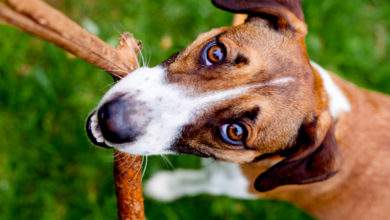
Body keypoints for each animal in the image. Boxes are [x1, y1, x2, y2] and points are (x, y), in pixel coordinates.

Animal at [86, 0, 390, 219]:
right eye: (215, 52)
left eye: (234, 132)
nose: (112, 119)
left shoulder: (230, 182)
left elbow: (196, 180)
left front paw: (164, 187)